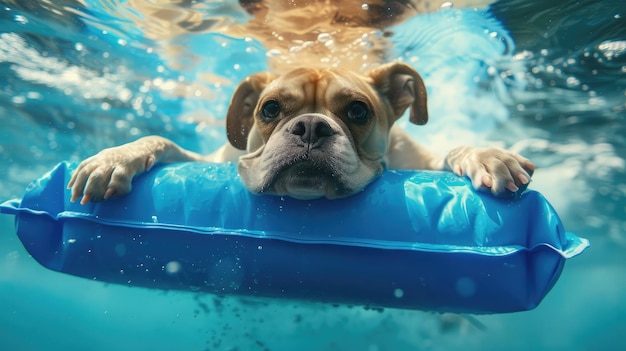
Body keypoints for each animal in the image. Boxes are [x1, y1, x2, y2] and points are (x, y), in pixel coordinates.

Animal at [69, 63, 536, 204]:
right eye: (270, 109)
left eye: (358, 110)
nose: (310, 126)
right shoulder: (208, 160)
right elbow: (161, 141)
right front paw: (113, 158)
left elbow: (454, 149)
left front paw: (488, 155)